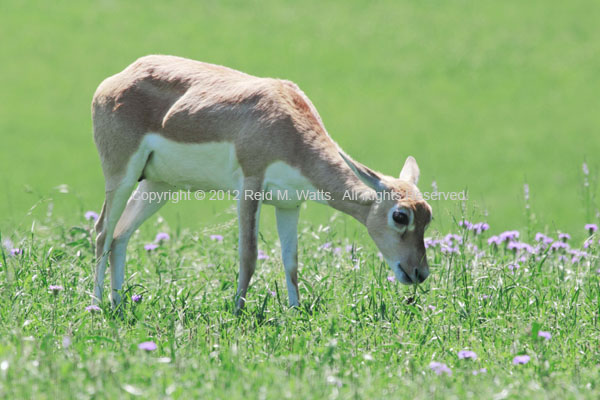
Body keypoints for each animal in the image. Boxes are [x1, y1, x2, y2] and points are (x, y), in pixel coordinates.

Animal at [91, 54, 432, 310]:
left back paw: (119, 303)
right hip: (121, 174)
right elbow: (249, 255)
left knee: (120, 236)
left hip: (159, 185)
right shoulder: (249, 187)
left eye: (428, 216)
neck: (289, 129)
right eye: (400, 216)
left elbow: (291, 260)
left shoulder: (289, 204)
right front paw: (237, 312)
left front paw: (295, 312)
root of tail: (116, 78)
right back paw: (96, 306)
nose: (420, 273)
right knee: (102, 232)